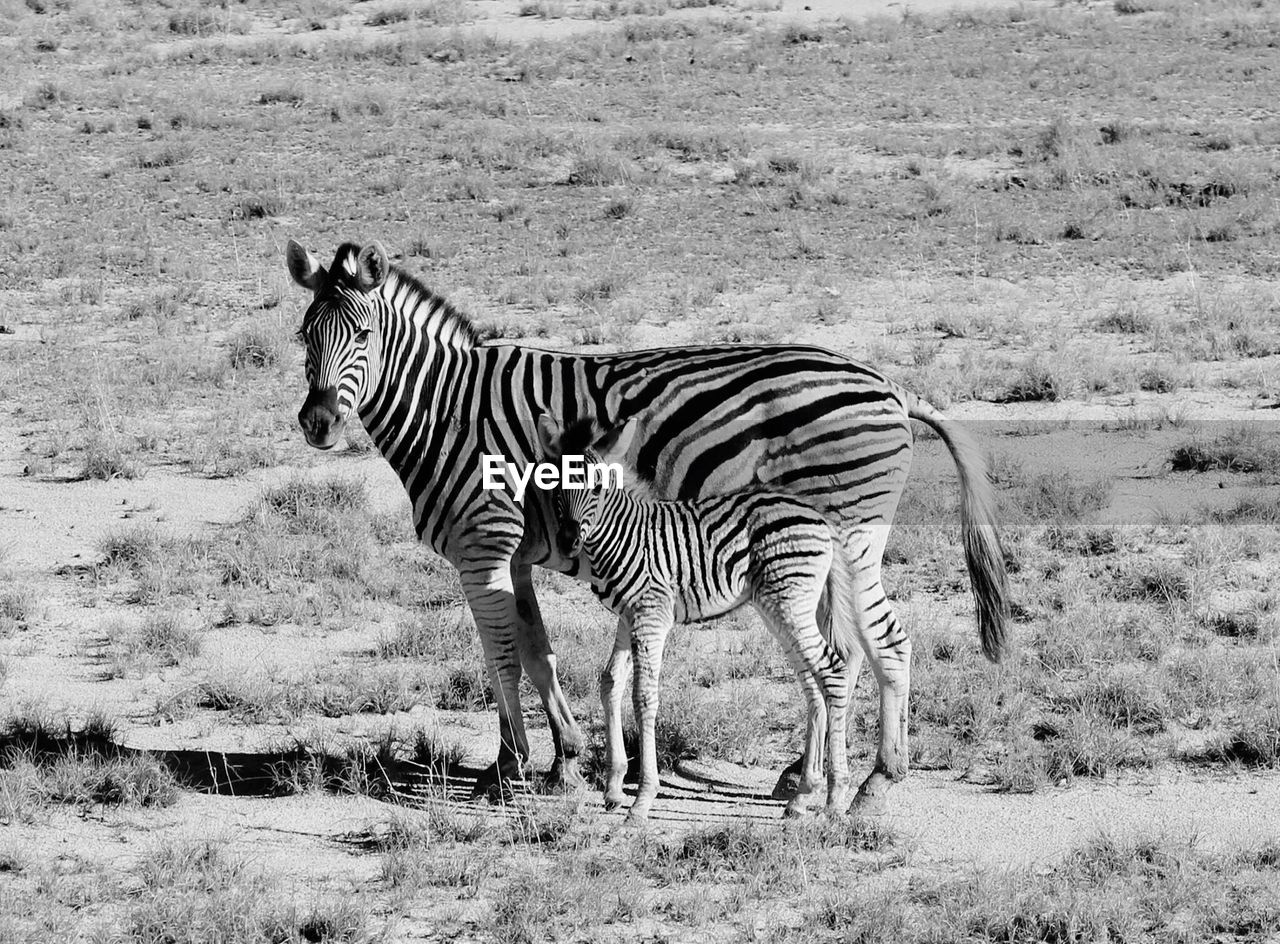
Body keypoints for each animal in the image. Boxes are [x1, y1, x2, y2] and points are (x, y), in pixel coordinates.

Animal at [535, 414, 855, 818]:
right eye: (553, 486)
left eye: (596, 489)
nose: (567, 543)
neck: (623, 535)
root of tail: (818, 516)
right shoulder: (628, 616)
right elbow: (610, 683)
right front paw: (613, 788)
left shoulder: (650, 614)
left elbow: (643, 695)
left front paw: (642, 799)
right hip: (783, 608)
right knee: (813, 682)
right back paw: (801, 796)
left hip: (788, 603)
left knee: (833, 671)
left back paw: (835, 798)